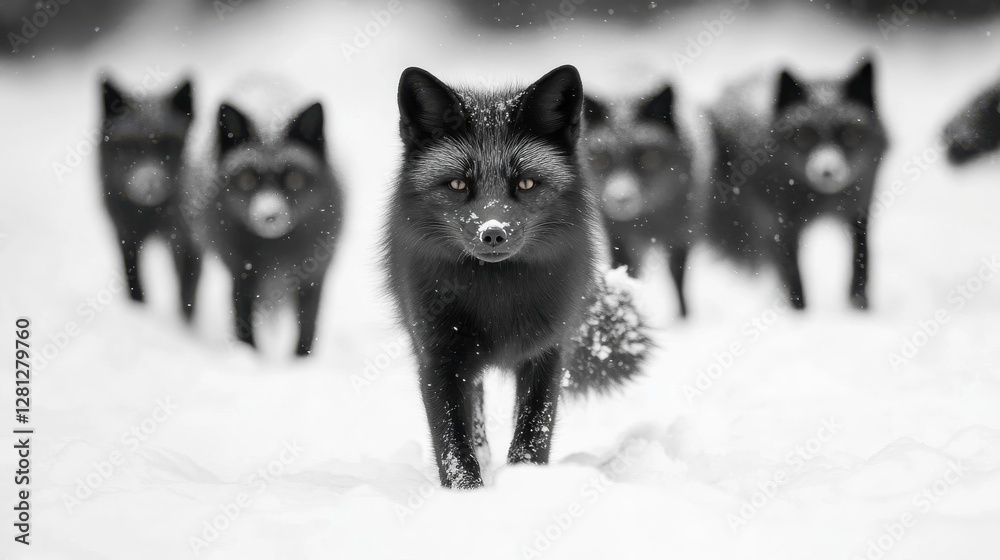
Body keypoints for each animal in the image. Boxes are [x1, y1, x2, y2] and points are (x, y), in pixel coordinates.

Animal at [99, 77, 201, 321]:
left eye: (168, 144)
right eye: (128, 147)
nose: (149, 184)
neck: (149, 214)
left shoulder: (188, 241)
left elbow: (186, 299)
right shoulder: (126, 234)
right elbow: (134, 283)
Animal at [196, 91, 343, 356]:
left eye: (294, 179)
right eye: (247, 179)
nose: (269, 215)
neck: (276, 251)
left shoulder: (313, 278)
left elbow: (307, 329)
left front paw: (301, 363)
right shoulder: (241, 276)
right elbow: (245, 327)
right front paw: (249, 359)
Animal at [385, 65, 648, 489]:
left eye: (525, 183)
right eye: (458, 183)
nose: (492, 233)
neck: (496, 299)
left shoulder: (547, 353)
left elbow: (532, 433)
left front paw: (526, 485)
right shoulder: (438, 358)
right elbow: (454, 447)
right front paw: (468, 494)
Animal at [582, 85, 694, 317]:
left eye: (648, 158)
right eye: (602, 160)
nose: (621, 198)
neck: (646, 219)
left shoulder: (681, 233)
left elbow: (679, 278)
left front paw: (684, 318)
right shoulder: (619, 238)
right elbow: (625, 273)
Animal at [705, 59, 888, 310]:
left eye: (850, 134)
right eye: (805, 137)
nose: (827, 172)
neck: (823, 201)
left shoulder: (860, 213)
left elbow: (861, 261)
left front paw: (860, 307)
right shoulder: (784, 225)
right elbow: (794, 277)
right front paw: (800, 314)